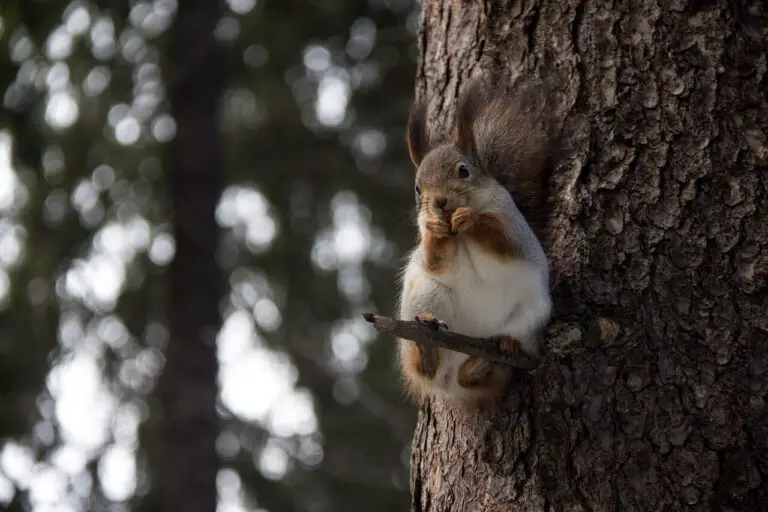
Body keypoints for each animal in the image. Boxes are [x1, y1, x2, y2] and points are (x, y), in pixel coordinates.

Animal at [396, 77, 554, 407]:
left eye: (464, 171)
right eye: (418, 188)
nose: (439, 203)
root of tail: (449, 384)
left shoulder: (513, 226)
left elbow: (504, 243)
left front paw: (469, 218)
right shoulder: (429, 246)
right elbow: (434, 262)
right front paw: (435, 228)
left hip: (531, 315)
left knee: (483, 368)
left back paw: (490, 357)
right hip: (427, 295)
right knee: (426, 366)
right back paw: (428, 348)